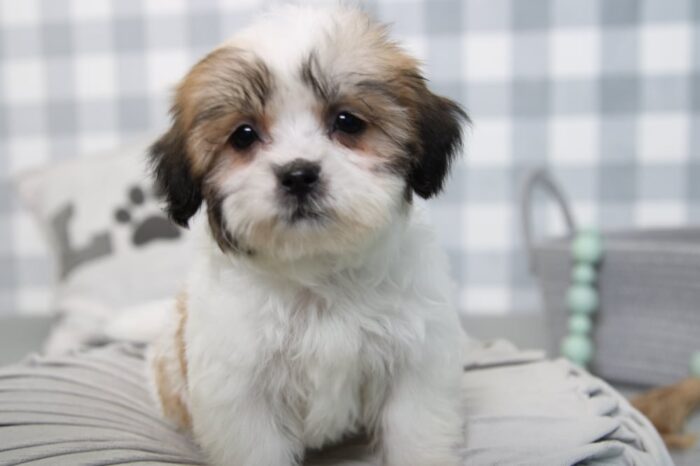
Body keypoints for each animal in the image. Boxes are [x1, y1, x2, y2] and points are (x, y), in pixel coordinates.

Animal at [151, 4, 470, 466]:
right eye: (243, 135)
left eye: (347, 122)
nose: (298, 174)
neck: (318, 274)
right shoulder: (241, 393)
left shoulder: (416, 366)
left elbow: (416, 434)